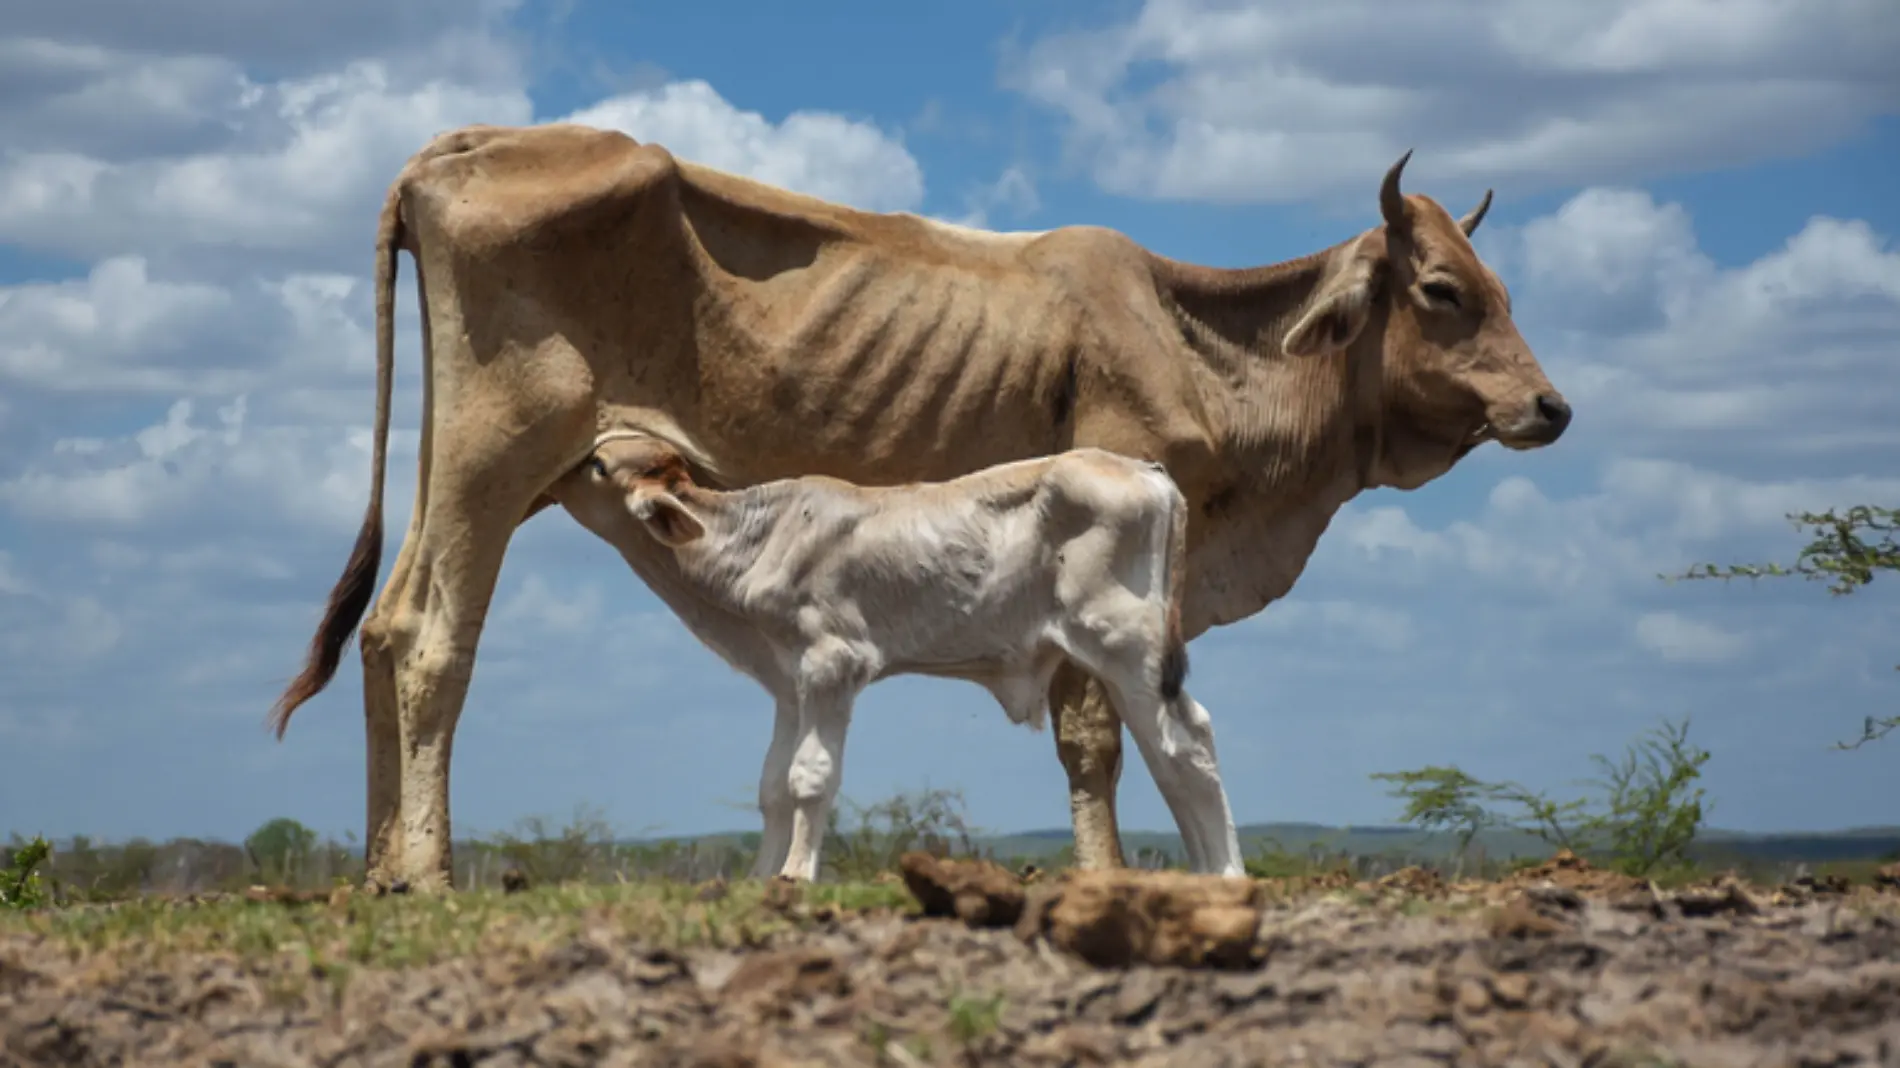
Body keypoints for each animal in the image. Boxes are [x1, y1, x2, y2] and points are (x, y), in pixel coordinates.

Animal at [543, 427, 1246, 877]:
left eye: (598, 467)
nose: (552, 475)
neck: (757, 540)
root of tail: (1146, 471)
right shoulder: (788, 682)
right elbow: (772, 786)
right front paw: (761, 880)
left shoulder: (833, 663)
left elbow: (809, 777)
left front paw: (794, 877)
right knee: (1167, 753)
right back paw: (1207, 873)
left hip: (1125, 644)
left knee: (1187, 744)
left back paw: (1228, 874)